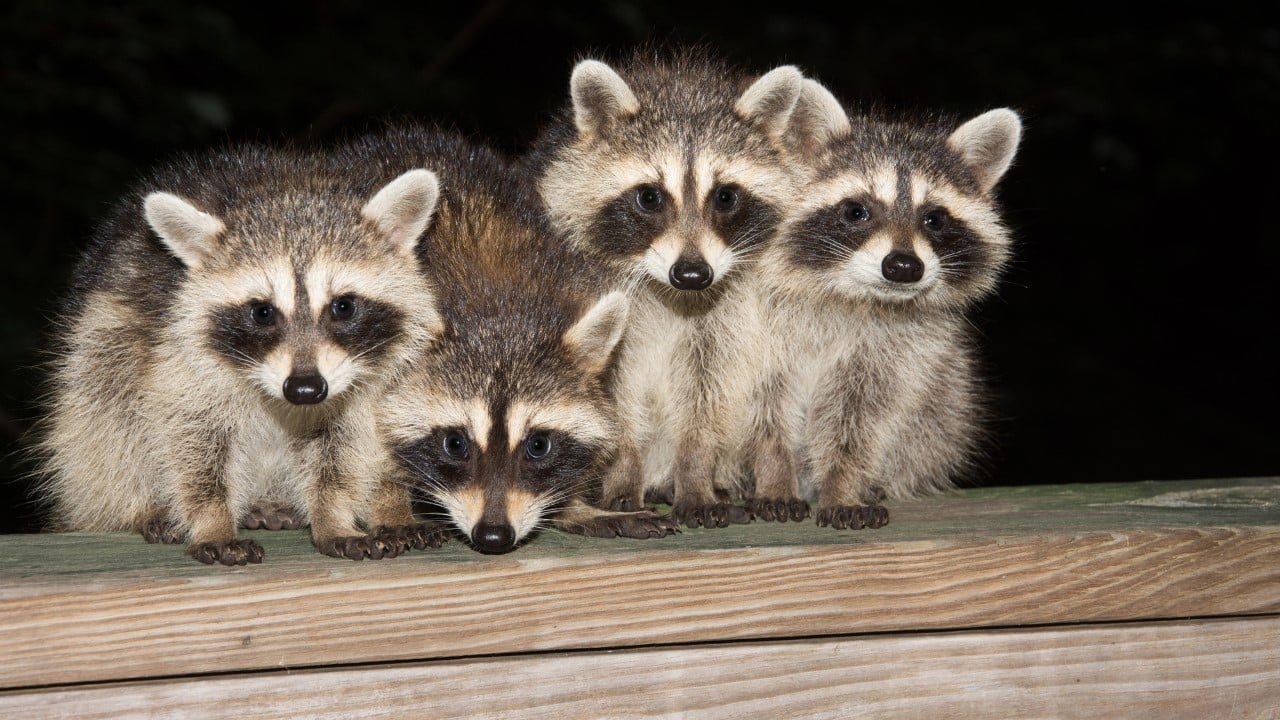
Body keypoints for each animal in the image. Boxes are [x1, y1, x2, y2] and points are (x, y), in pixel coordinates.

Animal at [35, 144, 448, 564]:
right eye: (262, 312)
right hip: (101, 340)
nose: (304, 389)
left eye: (343, 307)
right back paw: (139, 506)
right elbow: (191, 438)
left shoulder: (360, 383)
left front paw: (333, 514)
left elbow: (342, 447)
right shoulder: (178, 355)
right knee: (108, 414)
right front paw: (212, 520)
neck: (288, 191)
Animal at [349, 126, 677, 554]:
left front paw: (574, 505)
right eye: (455, 444)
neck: (499, 303)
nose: (493, 536)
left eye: (538, 445)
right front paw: (389, 505)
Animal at [526, 48, 821, 528]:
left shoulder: (729, 311)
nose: (692, 274)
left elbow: (708, 391)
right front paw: (623, 474)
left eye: (725, 197)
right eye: (649, 197)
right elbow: (612, 396)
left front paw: (696, 476)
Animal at [750, 80, 1022, 528]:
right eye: (857, 211)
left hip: (946, 404)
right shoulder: (757, 322)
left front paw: (843, 484)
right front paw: (773, 475)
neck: (855, 297)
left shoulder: (895, 353)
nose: (903, 267)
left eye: (935, 218)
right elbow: (763, 407)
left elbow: (861, 420)